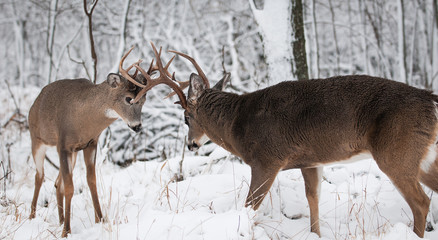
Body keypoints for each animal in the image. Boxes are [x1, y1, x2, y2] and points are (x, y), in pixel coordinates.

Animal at [27, 42, 181, 236]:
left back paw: (61, 220)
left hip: (72, 153)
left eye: (144, 99)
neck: (83, 118)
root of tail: (34, 104)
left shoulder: (90, 143)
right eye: (128, 98)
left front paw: (100, 220)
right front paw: (66, 232)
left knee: (57, 183)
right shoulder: (63, 145)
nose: (137, 126)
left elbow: (91, 181)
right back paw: (32, 217)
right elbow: (70, 187)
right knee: (39, 176)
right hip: (37, 140)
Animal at [162, 50, 438, 238]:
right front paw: (315, 233)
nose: (191, 145)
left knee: (421, 203)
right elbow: (312, 199)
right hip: (422, 159)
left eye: (186, 117)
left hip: (396, 154)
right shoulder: (310, 161)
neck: (237, 124)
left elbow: (250, 205)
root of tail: (430, 100)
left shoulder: (266, 159)